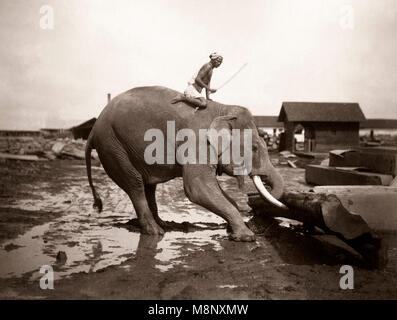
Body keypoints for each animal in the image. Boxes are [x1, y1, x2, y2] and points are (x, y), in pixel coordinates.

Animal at [86, 86, 284, 241]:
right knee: (135, 184)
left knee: (148, 186)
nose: (251, 201)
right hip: (112, 145)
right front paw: (246, 236)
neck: (222, 110)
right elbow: (197, 188)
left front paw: (232, 230)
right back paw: (156, 232)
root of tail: (93, 130)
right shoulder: (197, 142)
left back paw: (163, 224)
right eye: (254, 148)